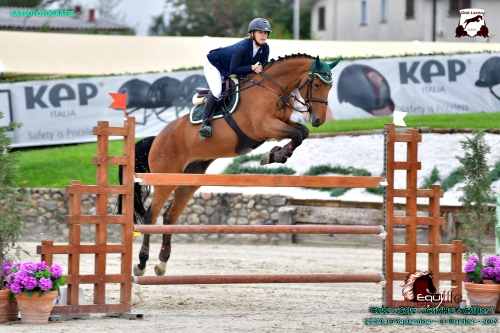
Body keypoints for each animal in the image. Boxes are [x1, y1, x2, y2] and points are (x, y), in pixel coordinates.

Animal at [119, 53, 342, 274]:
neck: (272, 88)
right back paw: (141, 263)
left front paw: (274, 155)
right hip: (166, 179)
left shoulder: (280, 124)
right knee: (151, 217)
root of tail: (157, 138)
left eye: (330, 86)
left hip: (189, 181)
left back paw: (161, 263)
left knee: (169, 217)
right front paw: (273, 156)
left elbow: (301, 132)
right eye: (316, 85)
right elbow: (297, 134)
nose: (318, 120)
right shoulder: (265, 126)